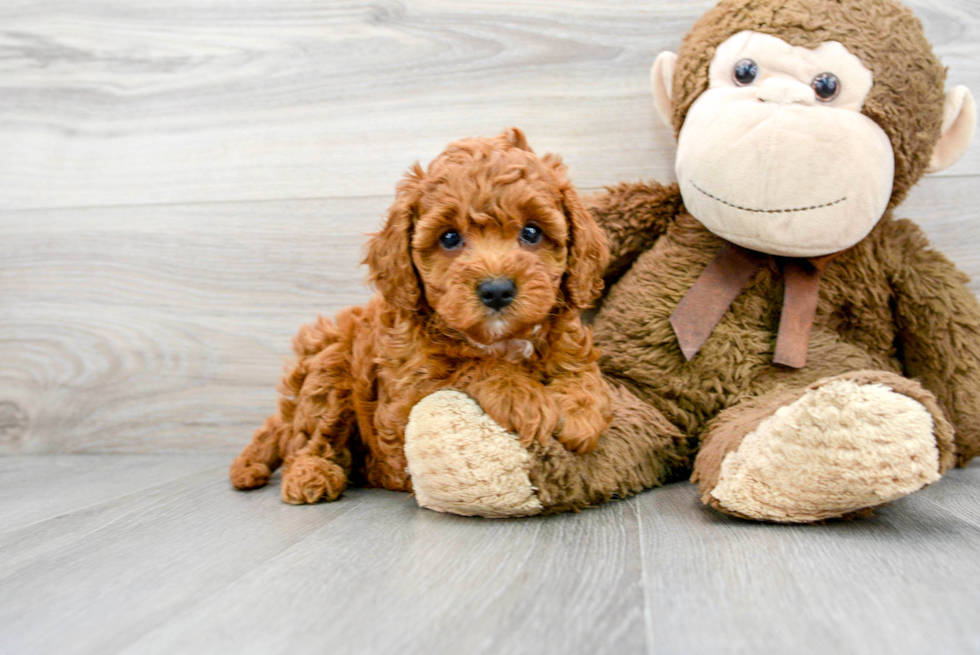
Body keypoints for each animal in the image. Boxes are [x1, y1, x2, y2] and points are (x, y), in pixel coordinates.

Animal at [232, 129, 612, 508]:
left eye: (532, 232)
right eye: (449, 237)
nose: (497, 290)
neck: (499, 341)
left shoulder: (568, 339)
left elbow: (580, 372)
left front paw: (580, 413)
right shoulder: (406, 397)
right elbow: (469, 367)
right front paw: (523, 397)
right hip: (330, 374)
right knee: (309, 439)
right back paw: (311, 473)